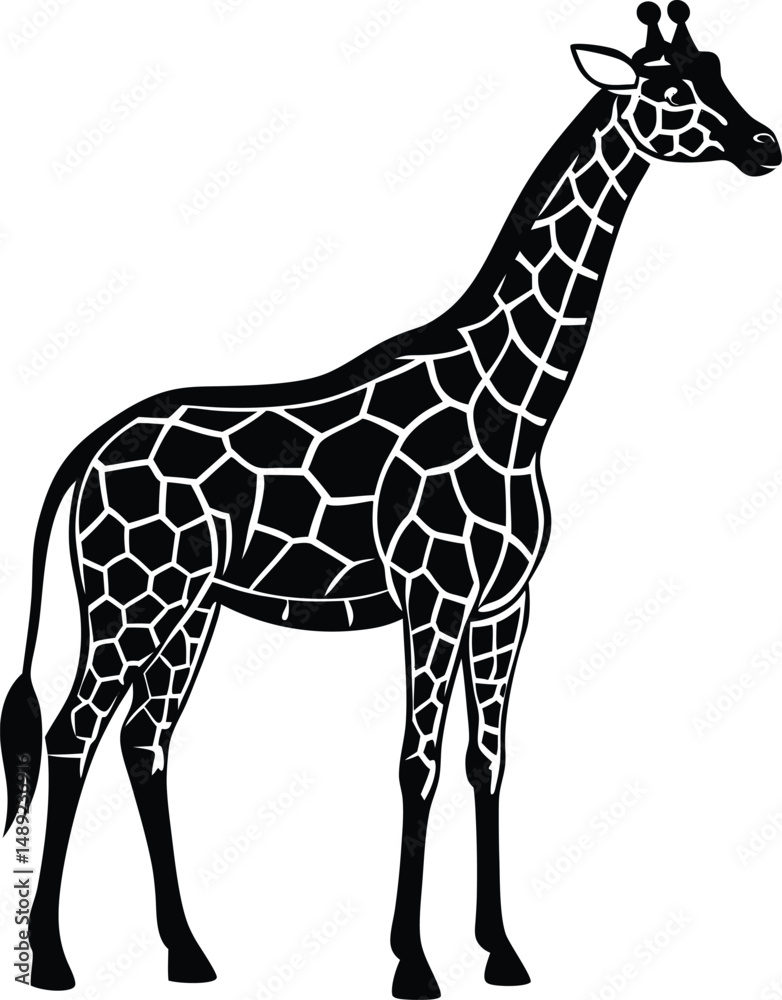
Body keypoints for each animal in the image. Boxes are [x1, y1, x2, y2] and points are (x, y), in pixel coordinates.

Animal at [1, 3, 778, 996]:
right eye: (669, 88)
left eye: (717, 67)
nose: (764, 145)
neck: (515, 404)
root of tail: (89, 449)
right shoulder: (433, 596)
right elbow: (418, 763)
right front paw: (414, 963)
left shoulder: (506, 604)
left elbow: (488, 761)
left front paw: (501, 952)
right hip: (130, 595)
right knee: (73, 733)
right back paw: (55, 960)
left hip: (190, 605)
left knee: (145, 737)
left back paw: (187, 951)